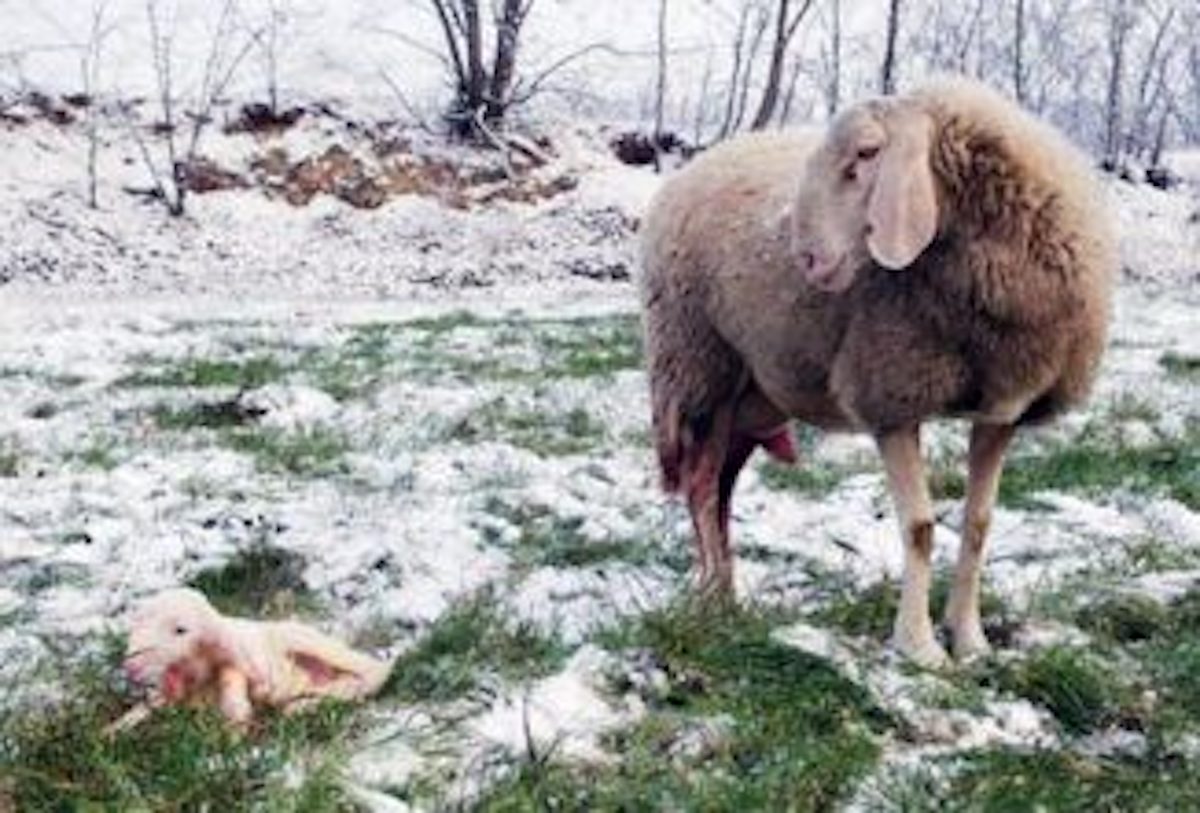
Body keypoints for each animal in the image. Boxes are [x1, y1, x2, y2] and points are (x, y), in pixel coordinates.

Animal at [111, 588, 391, 731]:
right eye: (137, 624)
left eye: (181, 630)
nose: (131, 666)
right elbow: (147, 706)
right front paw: (114, 730)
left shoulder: (237, 664)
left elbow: (234, 690)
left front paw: (236, 732)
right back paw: (301, 704)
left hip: (310, 643)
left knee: (372, 674)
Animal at [640, 77, 1115, 668]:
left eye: (867, 153)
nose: (809, 259)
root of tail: (694, 166)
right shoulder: (890, 394)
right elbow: (920, 527)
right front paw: (919, 647)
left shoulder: (1002, 408)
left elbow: (978, 525)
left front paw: (970, 639)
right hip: (701, 367)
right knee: (702, 489)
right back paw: (715, 599)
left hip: (752, 393)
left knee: (721, 486)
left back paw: (725, 591)